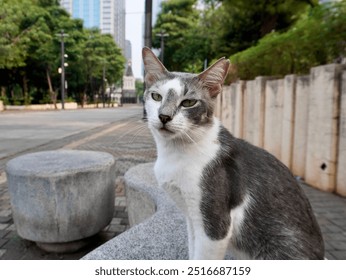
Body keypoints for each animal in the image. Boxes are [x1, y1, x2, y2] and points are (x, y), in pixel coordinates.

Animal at [141, 47, 324, 260]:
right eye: (156, 96)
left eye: (188, 102)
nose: (164, 116)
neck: (177, 152)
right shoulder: (192, 218)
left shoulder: (214, 225)